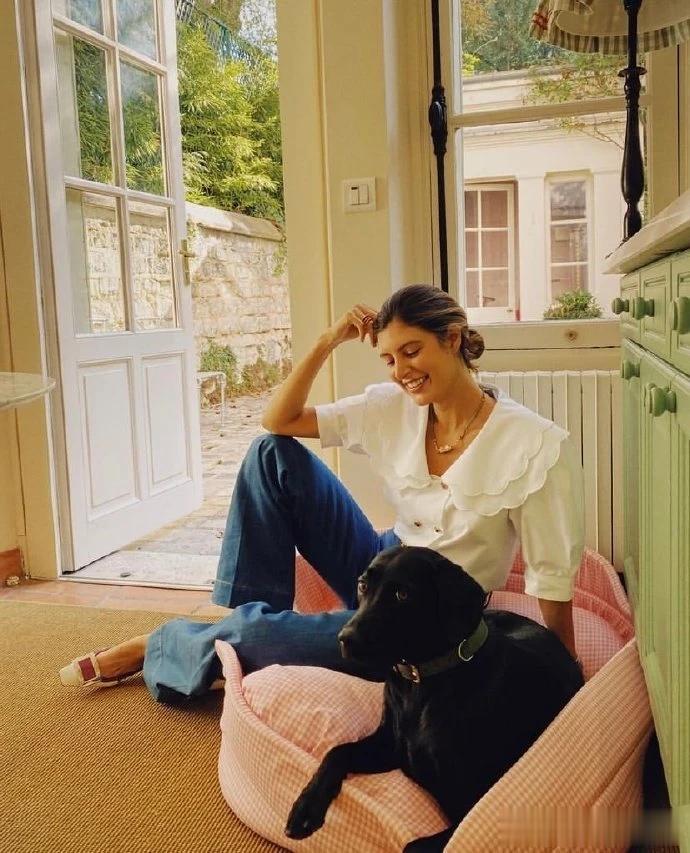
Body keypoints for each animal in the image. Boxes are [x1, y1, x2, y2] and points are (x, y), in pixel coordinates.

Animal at [285, 545, 584, 852]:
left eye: (402, 594)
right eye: (363, 585)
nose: (345, 638)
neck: (418, 684)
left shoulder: (470, 807)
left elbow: (411, 846)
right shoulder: (389, 748)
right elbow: (337, 751)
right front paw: (305, 807)